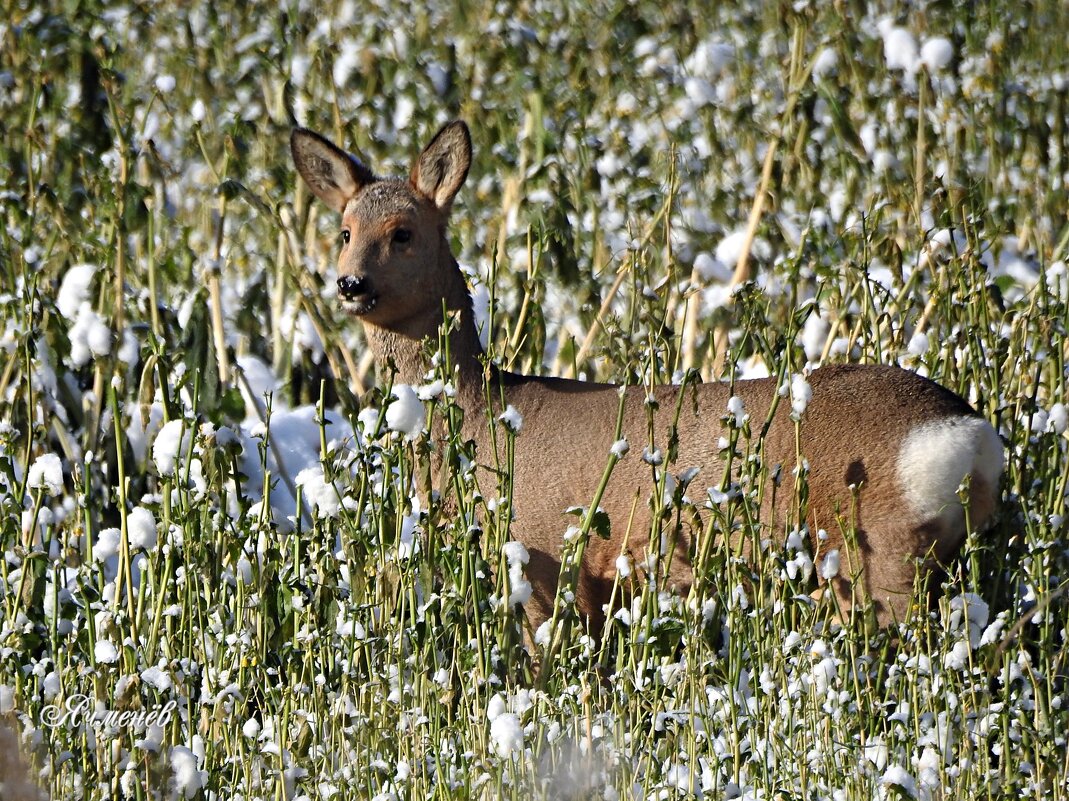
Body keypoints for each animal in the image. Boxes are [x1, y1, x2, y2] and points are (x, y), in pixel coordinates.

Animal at [290, 120, 1000, 637]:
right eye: (344, 231)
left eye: (403, 232)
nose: (349, 283)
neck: (480, 413)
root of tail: (971, 438)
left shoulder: (543, 558)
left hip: (879, 559)